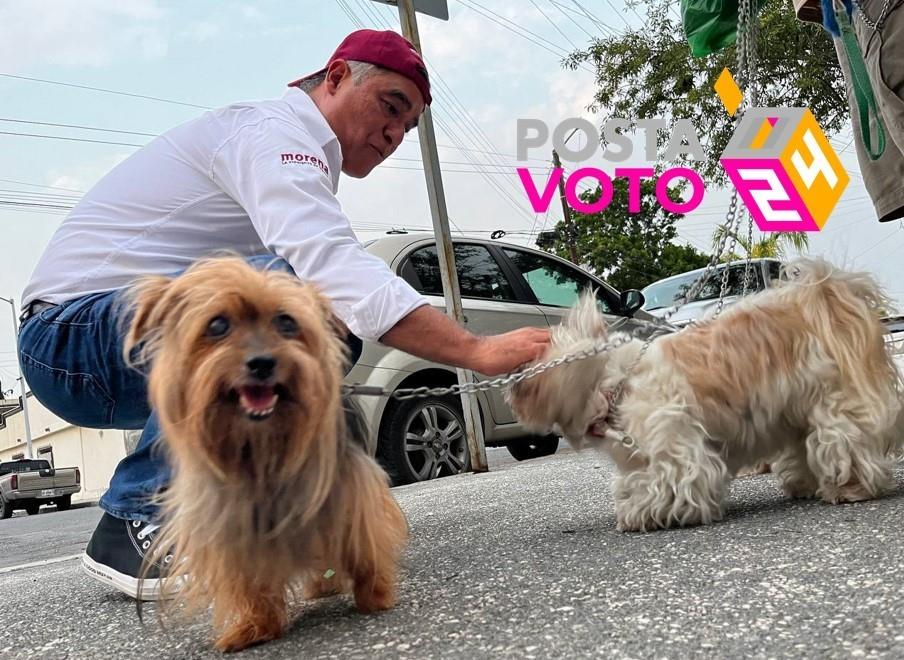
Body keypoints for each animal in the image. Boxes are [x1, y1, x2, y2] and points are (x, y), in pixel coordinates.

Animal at [125, 258, 408, 648]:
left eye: (286, 322)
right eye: (217, 325)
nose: (262, 363)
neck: (262, 446)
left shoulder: (347, 493)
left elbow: (361, 543)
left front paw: (375, 594)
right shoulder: (230, 522)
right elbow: (248, 576)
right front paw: (255, 624)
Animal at [508, 258, 904, 532]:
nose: (511, 377)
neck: (616, 382)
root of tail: (822, 293)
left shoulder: (674, 450)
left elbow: (666, 486)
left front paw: (638, 513)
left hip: (832, 402)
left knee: (845, 440)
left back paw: (850, 486)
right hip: (794, 409)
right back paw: (803, 483)